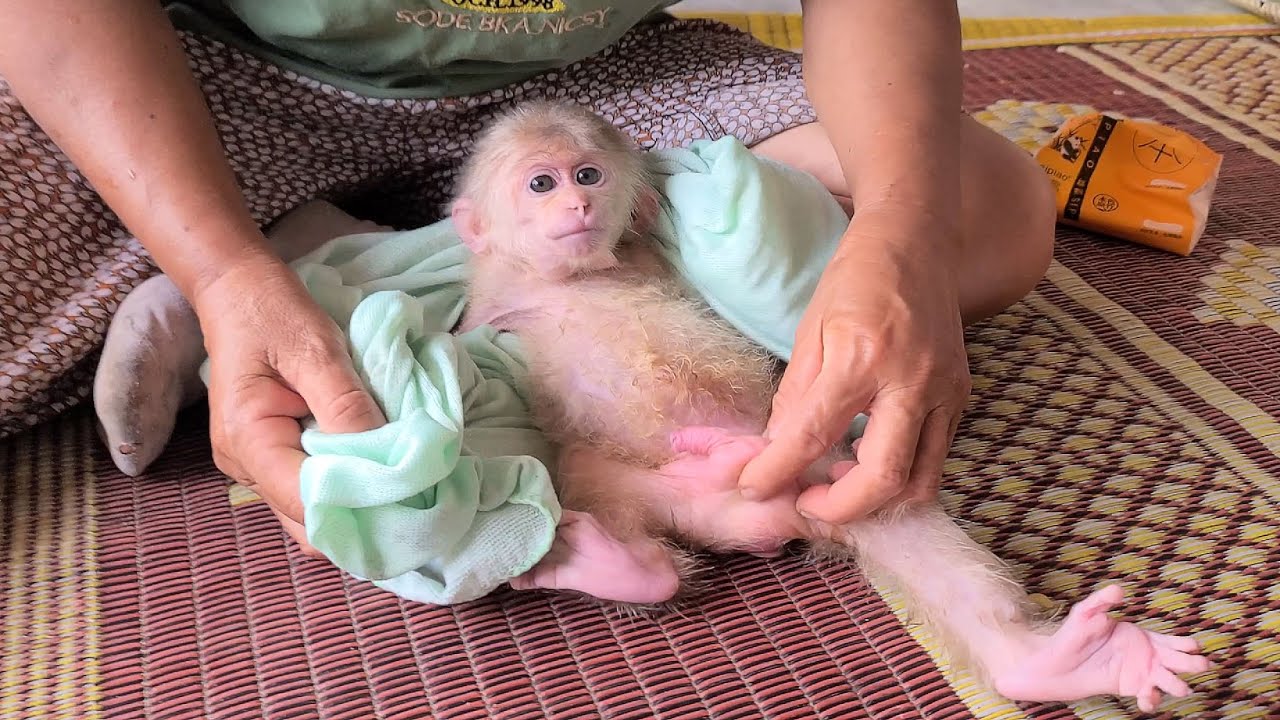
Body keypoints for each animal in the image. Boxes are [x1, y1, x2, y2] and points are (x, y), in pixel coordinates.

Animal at [448, 100, 1210, 712]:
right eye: (541, 183)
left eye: (588, 176)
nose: (575, 207)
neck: (570, 277)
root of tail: (751, 518)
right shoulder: (488, 307)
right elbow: (472, 350)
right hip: (631, 484)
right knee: (598, 495)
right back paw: (612, 564)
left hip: (833, 483)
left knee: (903, 526)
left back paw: (1058, 662)